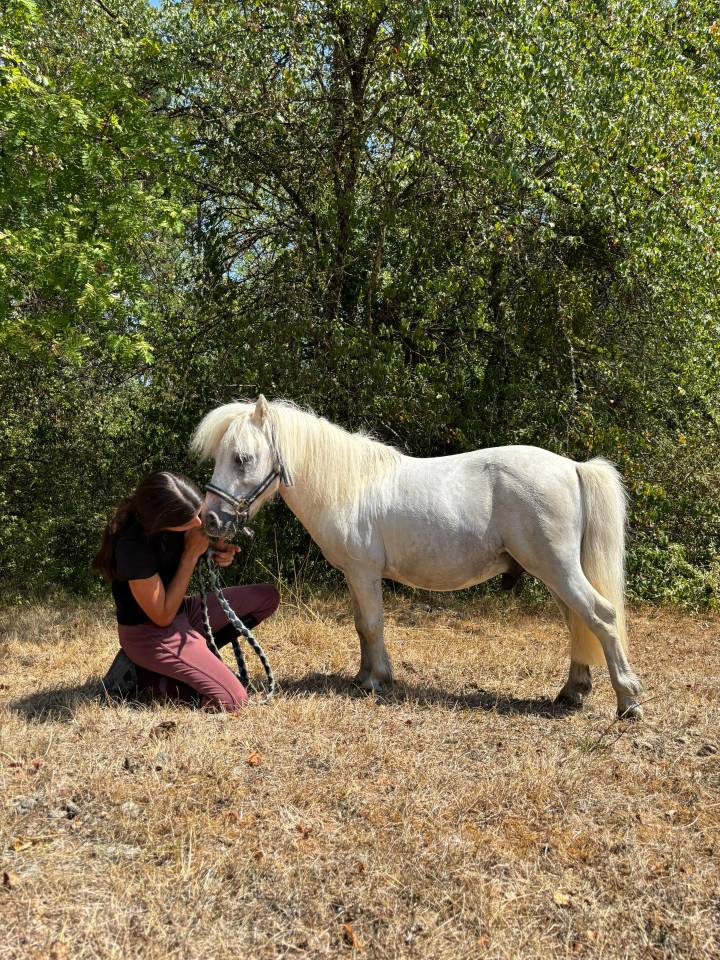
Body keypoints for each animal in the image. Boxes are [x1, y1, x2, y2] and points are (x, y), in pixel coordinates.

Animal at [191, 396, 643, 719]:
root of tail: (572, 466)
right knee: (578, 622)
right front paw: (364, 676)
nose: (209, 518)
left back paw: (629, 701)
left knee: (600, 616)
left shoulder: (364, 572)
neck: (350, 485)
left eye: (243, 458)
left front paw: (376, 681)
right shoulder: (355, 576)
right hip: (556, 572)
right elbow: (361, 626)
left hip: (557, 568)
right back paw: (572, 692)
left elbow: (372, 625)